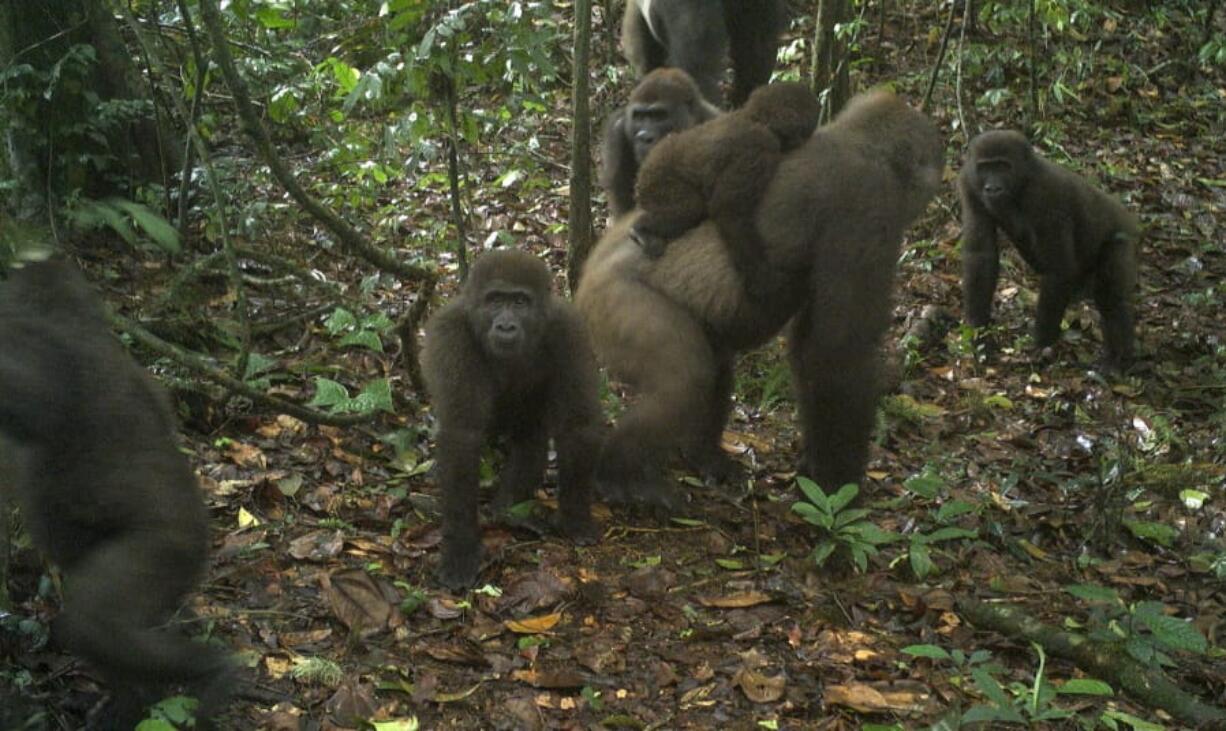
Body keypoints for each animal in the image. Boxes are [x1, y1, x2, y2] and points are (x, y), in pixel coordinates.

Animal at [421, 250, 603, 588]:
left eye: (520, 302)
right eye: (495, 300)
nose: (506, 326)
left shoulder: (568, 330)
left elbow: (577, 422)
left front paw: (575, 516)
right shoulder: (451, 334)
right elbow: (461, 436)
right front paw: (460, 545)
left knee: (531, 437)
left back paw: (510, 511)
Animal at [576, 91, 946, 510]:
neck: (857, 139)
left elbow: (810, 349)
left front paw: (814, 471)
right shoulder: (869, 205)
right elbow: (838, 353)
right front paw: (838, 491)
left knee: (713, 361)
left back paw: (703, 456)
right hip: (612, 301)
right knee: (683, 378)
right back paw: (619, 476)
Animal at [956, 129, 1137, 370]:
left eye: (1003, 166)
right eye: (985, 167)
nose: (992, 188)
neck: (1023, 178)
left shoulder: (1048, 193)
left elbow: (1059, 269)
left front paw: (1041, 345)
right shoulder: (969, 182)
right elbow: (981, 257)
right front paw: (980, 335)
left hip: (1124, 238)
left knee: (1111, 297)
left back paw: (1119, 362)